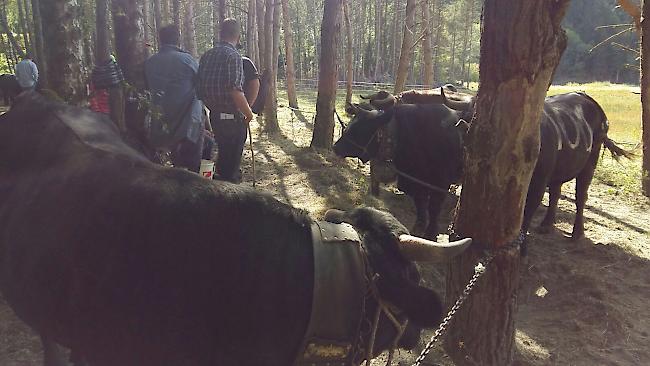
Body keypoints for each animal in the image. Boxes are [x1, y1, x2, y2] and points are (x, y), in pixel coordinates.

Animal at [334, 89, 628, 242]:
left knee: (580, 197)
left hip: (588, 166)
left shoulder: (440, 181)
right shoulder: (418, 180)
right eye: (353, 122)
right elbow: (421, 206)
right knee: (556, 192)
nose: (336, 147)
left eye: (361, 126)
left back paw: (576, 232)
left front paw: (430, 232)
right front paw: (419, 227)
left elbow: (434, 206)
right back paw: (546, 224)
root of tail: (588, 99)